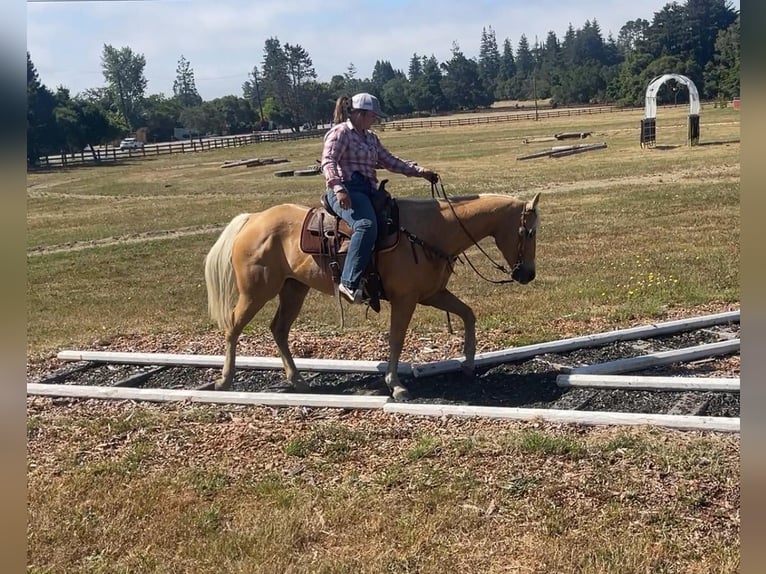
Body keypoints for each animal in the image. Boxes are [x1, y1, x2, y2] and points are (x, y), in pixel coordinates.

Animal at [204, 192, 540, 400]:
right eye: (529, 232)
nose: (527, 274)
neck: (431, 230)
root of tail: (253, 219)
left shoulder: (432, 294)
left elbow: (468, 315)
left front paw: (468, 364)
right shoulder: (405, 299)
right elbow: (396, 339)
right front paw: (397, 386)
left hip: (293, 289)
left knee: (279, 330)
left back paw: (297, 380)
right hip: (256, 291)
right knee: (233, 328)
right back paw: (225, 380)